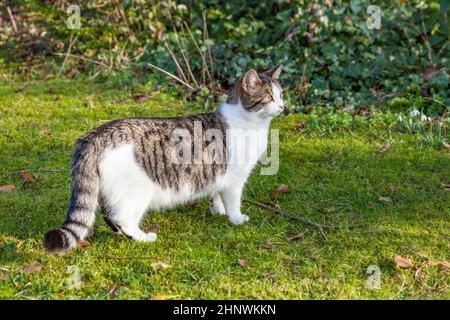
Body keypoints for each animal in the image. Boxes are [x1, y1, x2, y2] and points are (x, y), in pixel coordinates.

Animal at [45, 64, 284, 252]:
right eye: (269, 98)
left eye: (281, 94)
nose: (283, 106)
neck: (247, 121)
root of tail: (96, 136)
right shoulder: (234, 178)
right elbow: (233, 202)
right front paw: (236, 219)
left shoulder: (218, 175)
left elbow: (216, 195)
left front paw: (218, 211)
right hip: (136, 191)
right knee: (121, 218)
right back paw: (143, 237)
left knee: (108, 215)